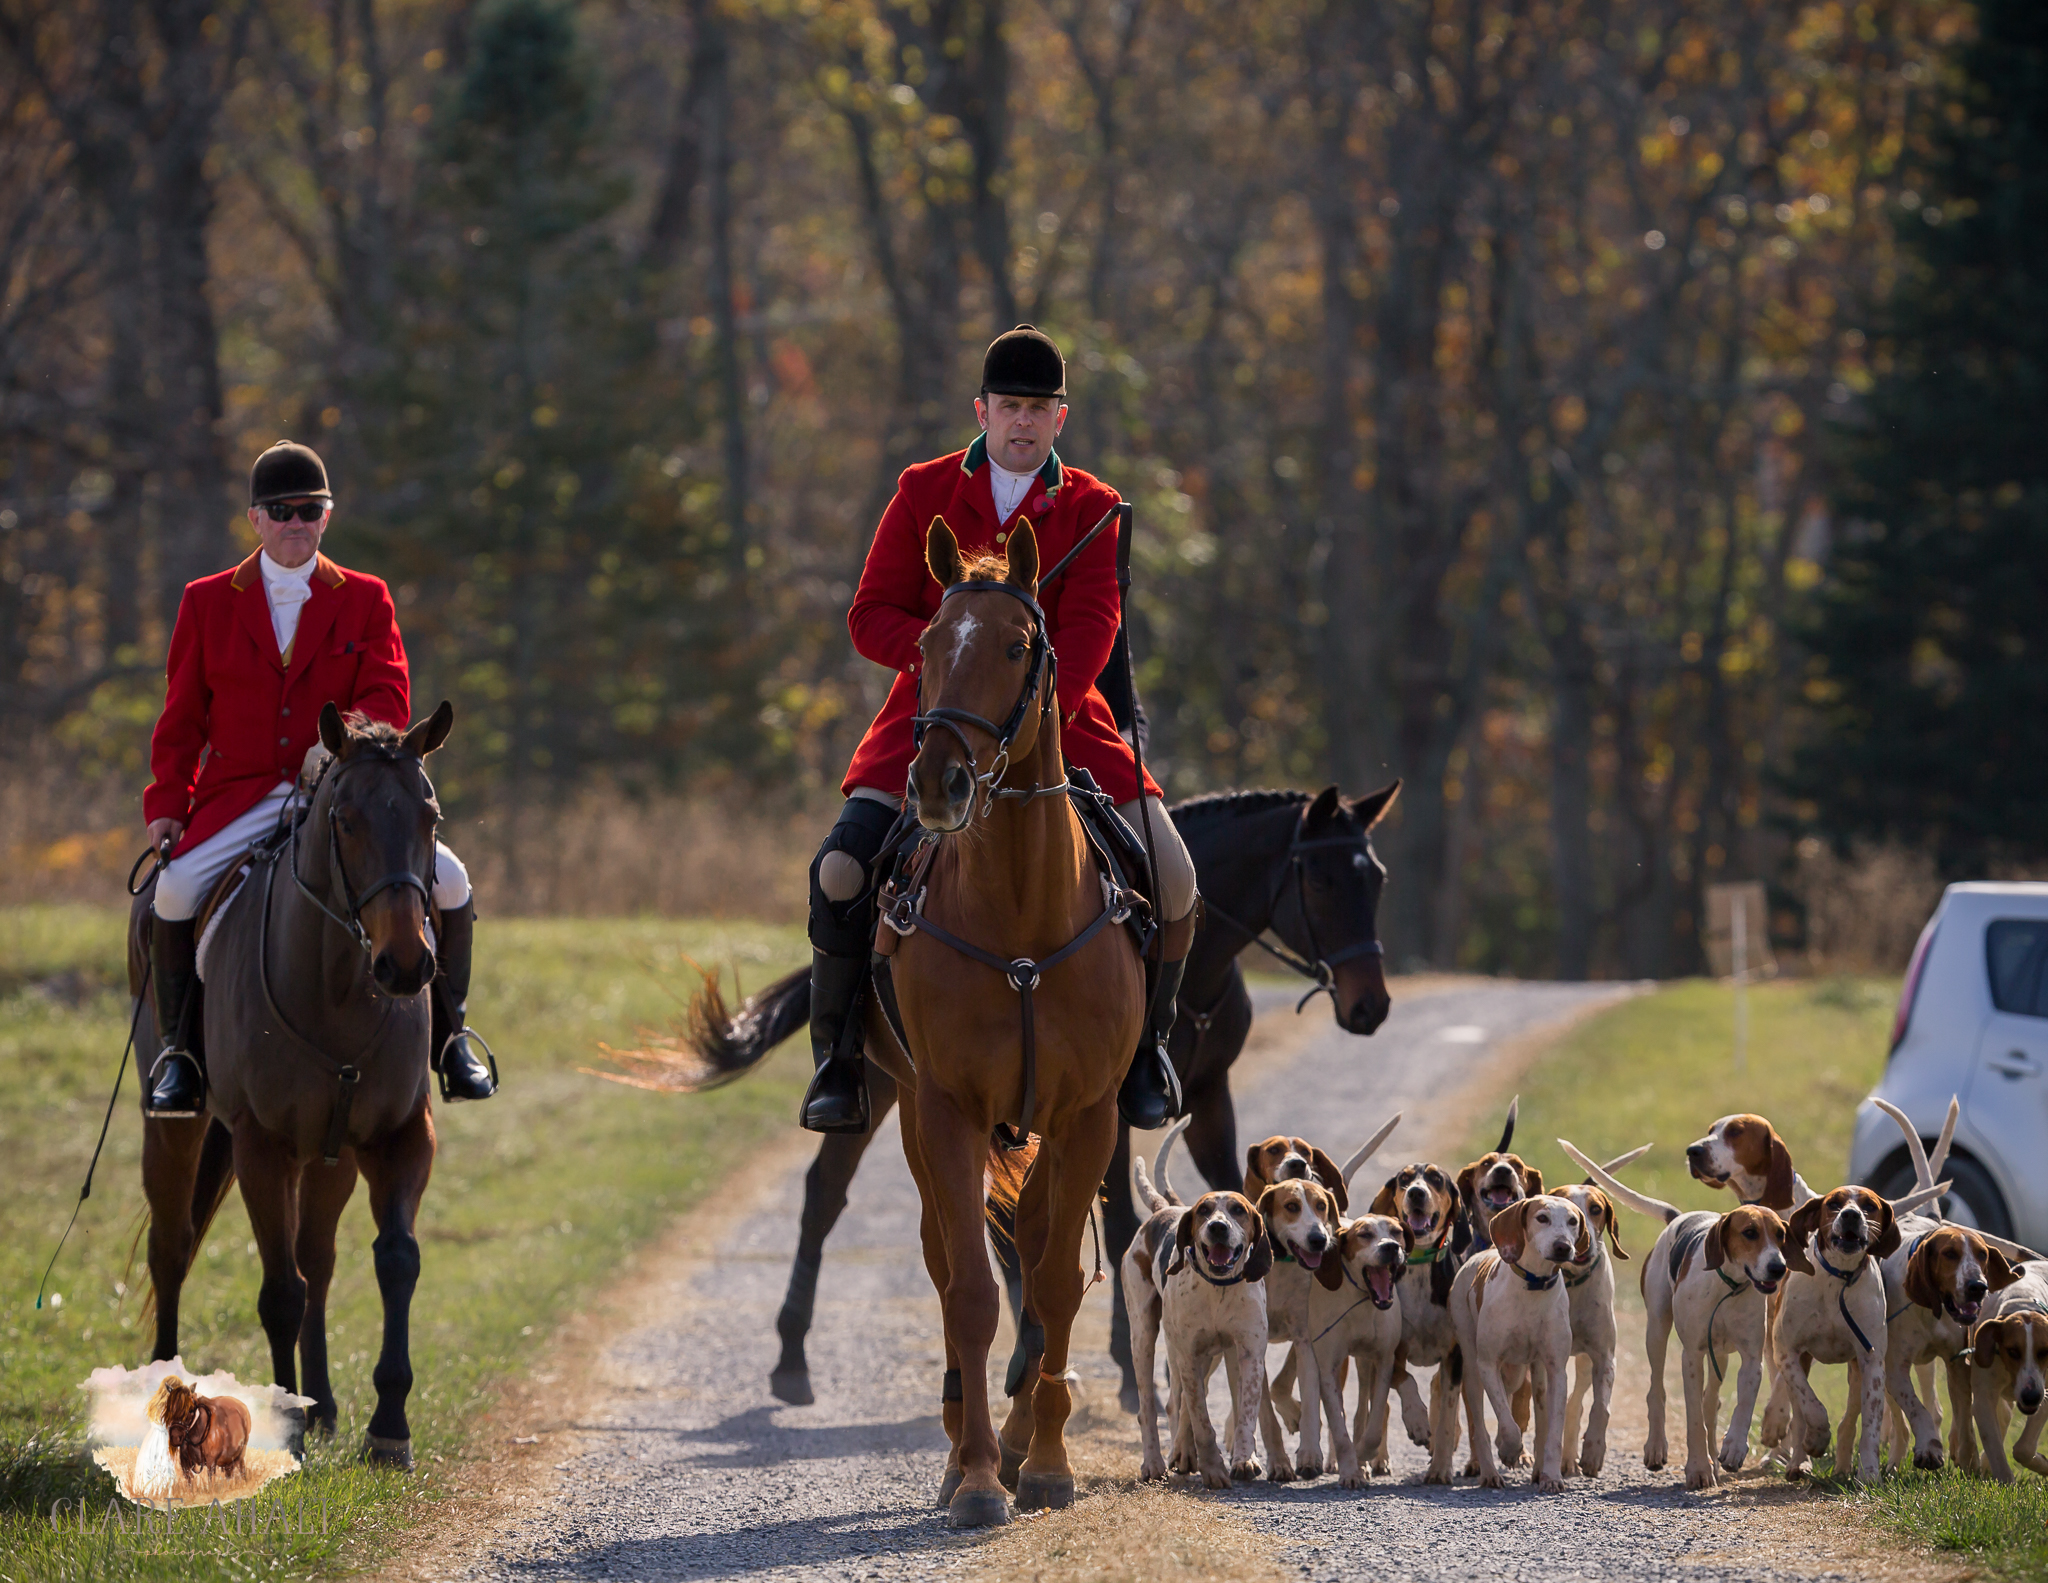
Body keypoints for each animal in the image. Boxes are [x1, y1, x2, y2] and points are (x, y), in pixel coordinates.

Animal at [130, 696, 454, 1466]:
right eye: (347, 820)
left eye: (429, 817)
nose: (406, 965)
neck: (339, 986)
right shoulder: (262, 1147)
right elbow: (279, 1289)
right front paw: (287, 1428)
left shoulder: (401, 1135)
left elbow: (395, 1261)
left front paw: (387, 1425)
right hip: (174, 1130)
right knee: (172, 1247)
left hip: (331, 1157)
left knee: (320, 1260)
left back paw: (326, 1404)